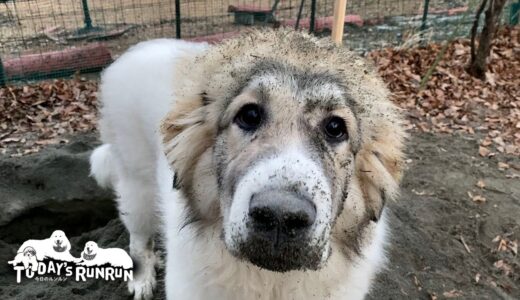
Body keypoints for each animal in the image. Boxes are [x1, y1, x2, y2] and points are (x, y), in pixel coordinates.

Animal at [90, 29, 406, 298]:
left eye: (335, 128)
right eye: (249, 115)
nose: (281, 216)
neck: (271, 282)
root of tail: (139, 49)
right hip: (137, 185)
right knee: (138, 235)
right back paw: (142, 278)